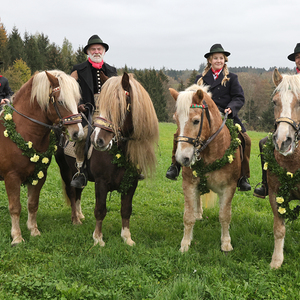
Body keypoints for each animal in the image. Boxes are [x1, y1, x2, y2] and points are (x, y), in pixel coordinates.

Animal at [0, 71, 83, 246]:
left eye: (77, 100)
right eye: (60, 101)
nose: (77, 133)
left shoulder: (39, 176)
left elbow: (32, 204)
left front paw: (34, 230)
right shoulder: (11, 177)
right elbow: (15, 207)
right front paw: (17, 237)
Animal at [56, 72, 159, 246]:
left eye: (119, 105)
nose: (98, 140)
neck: (119, 151)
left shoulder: (131, 182)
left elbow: (126, 209)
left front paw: (127, 237)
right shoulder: (101, 182)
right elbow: (100, 210)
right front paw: (98, 238)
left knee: (78, 191)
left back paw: (80, 215)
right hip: (65, 170)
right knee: (72, 193)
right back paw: (75, 219)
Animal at [169, 84, 241, 253]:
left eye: (196, 121)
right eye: (176, 120)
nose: (182, 158)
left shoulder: (229, 187)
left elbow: (224, 215)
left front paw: (226, 243)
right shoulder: (189, 184)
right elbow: (188, 216)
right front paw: (185, 243)